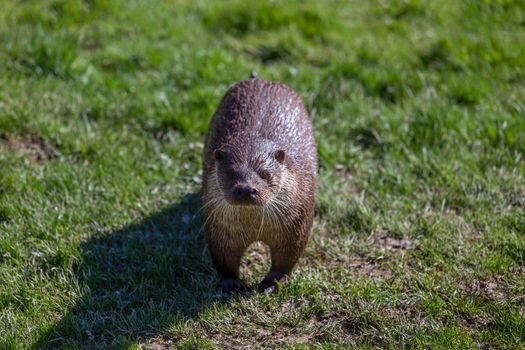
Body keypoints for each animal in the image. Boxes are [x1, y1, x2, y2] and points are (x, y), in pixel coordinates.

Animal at [201, 76, 316, 292]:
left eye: (264, 173)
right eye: (230, 173)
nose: (246, 188)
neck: (254, 227)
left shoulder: (296, 227)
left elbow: (286, 259)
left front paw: (272, 283)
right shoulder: (218, 229)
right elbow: (224, 258)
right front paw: (230, 284)